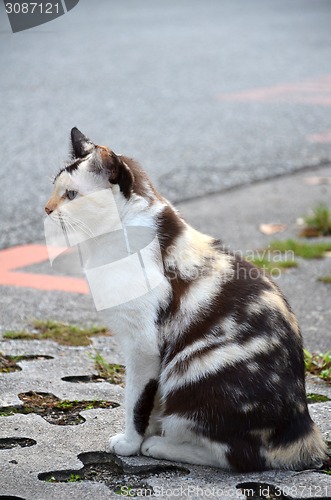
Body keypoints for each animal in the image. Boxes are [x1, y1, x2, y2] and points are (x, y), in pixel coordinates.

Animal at [45, 127, 328, 470]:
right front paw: (144, 434)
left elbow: (135, 402)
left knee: (237, 455)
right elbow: (150, 405)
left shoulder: (143, 346)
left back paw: (161, 446)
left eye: (72, 195)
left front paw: (131, 443)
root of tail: (303, 430)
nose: (46, 209)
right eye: (55, 189)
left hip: (193, 375)